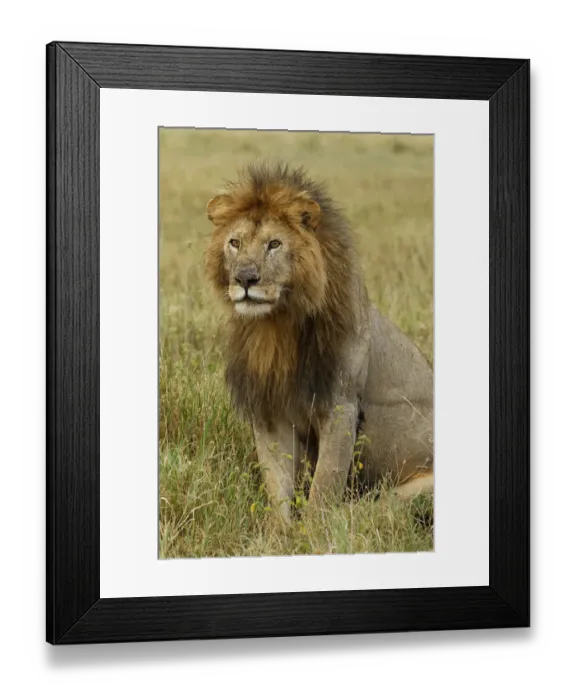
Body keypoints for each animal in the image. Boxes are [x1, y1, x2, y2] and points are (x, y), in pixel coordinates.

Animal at [205, 162, 433, 525]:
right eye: (235, 242)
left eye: (274, 244)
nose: (244, 278)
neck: (277, 325)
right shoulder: (270, 411)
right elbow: (277, 484)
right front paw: (277, 534)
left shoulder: (341, 406)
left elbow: (324, 488)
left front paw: (313, 533)